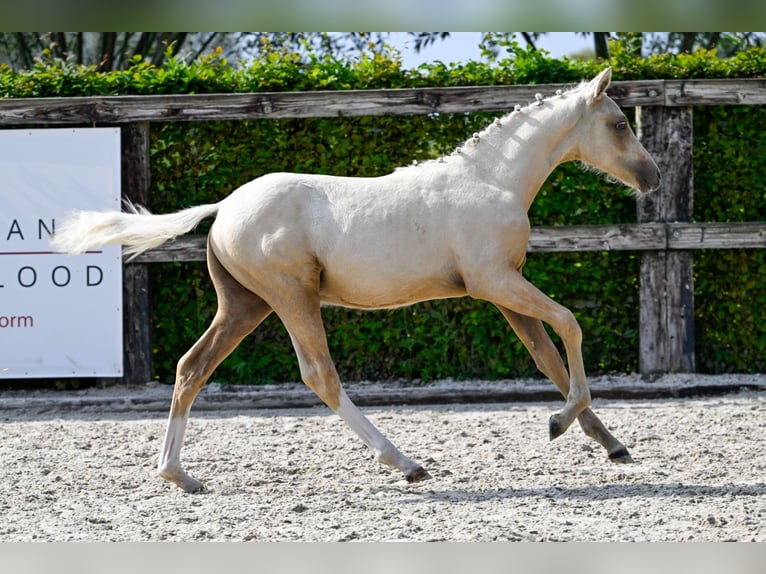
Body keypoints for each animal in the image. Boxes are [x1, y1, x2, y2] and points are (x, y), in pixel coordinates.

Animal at [54, 66, 664, 490]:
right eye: (617, 124)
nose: (653, 177)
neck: (493, 179)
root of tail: (225, 206)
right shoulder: (495, 282)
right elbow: (570, 324)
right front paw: (559, 423)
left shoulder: (506, 288)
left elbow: (548, 359)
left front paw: (609, 443)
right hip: (291, 296)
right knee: (319, 375)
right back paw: (406, 463)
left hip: (244, 304)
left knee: (191, 367)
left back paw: (178, 475)